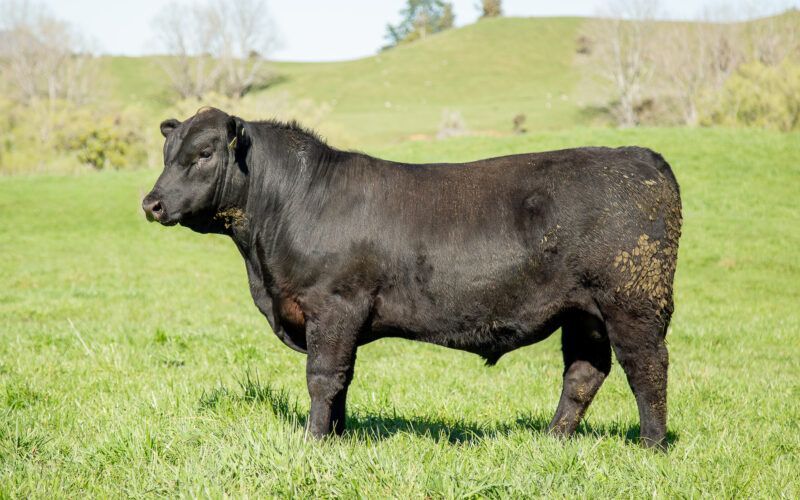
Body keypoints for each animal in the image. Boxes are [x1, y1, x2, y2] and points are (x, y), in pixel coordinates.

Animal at [143, 107, 682, 449]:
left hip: (632, 303)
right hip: (583, 314)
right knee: (583, 374)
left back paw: (650, 447)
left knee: (646, 368)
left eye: (205, 153)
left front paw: (313, 441)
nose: (152, 203)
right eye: (168, 152)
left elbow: (323, 378)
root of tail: (639, 156)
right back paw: (552, 440)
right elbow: (343, 381)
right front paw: (337, 438)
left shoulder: (333, 307)